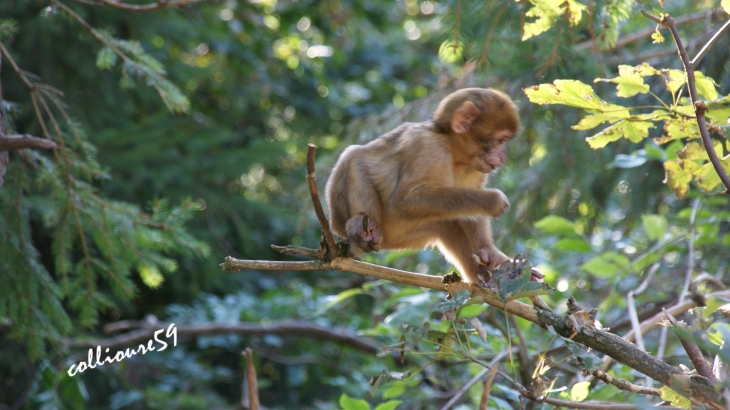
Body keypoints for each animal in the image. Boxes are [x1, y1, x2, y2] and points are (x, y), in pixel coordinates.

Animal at [322, 88, 532, 284]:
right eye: (501, 140)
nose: (503, 156)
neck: (454, 153)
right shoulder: (429, 147)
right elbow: (404, 201)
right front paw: (492, 201)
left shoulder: (477, 168)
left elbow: (470, 214)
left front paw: (490, 253)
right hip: (354, 223)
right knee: (353, 156)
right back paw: (360, 228)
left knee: (447, 225)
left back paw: (487, 279)